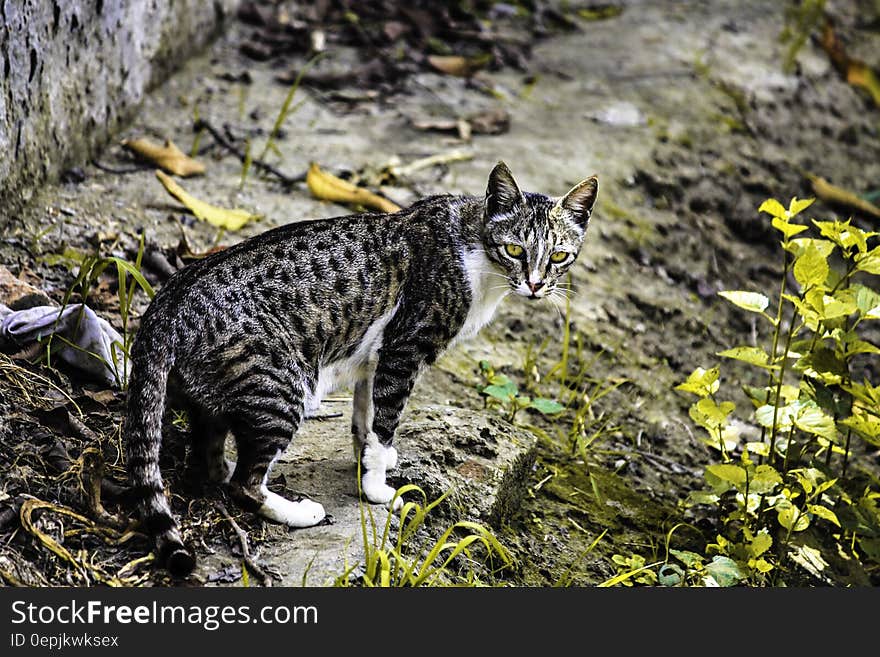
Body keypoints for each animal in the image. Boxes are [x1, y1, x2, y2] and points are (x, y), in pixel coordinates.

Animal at [124, 163, 600, 576]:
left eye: (559, 256)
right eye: (515, 249)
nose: (536, 284)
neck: (477, 254)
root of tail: (165, 306)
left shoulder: (374, 361)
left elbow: (366, 422)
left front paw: (372, 462)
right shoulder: (404, 350)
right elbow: (386, 420)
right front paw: (378, 491)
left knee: (209, 454)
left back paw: (222, 471)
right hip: (283, 385)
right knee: (245, 483)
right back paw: (296, 511)